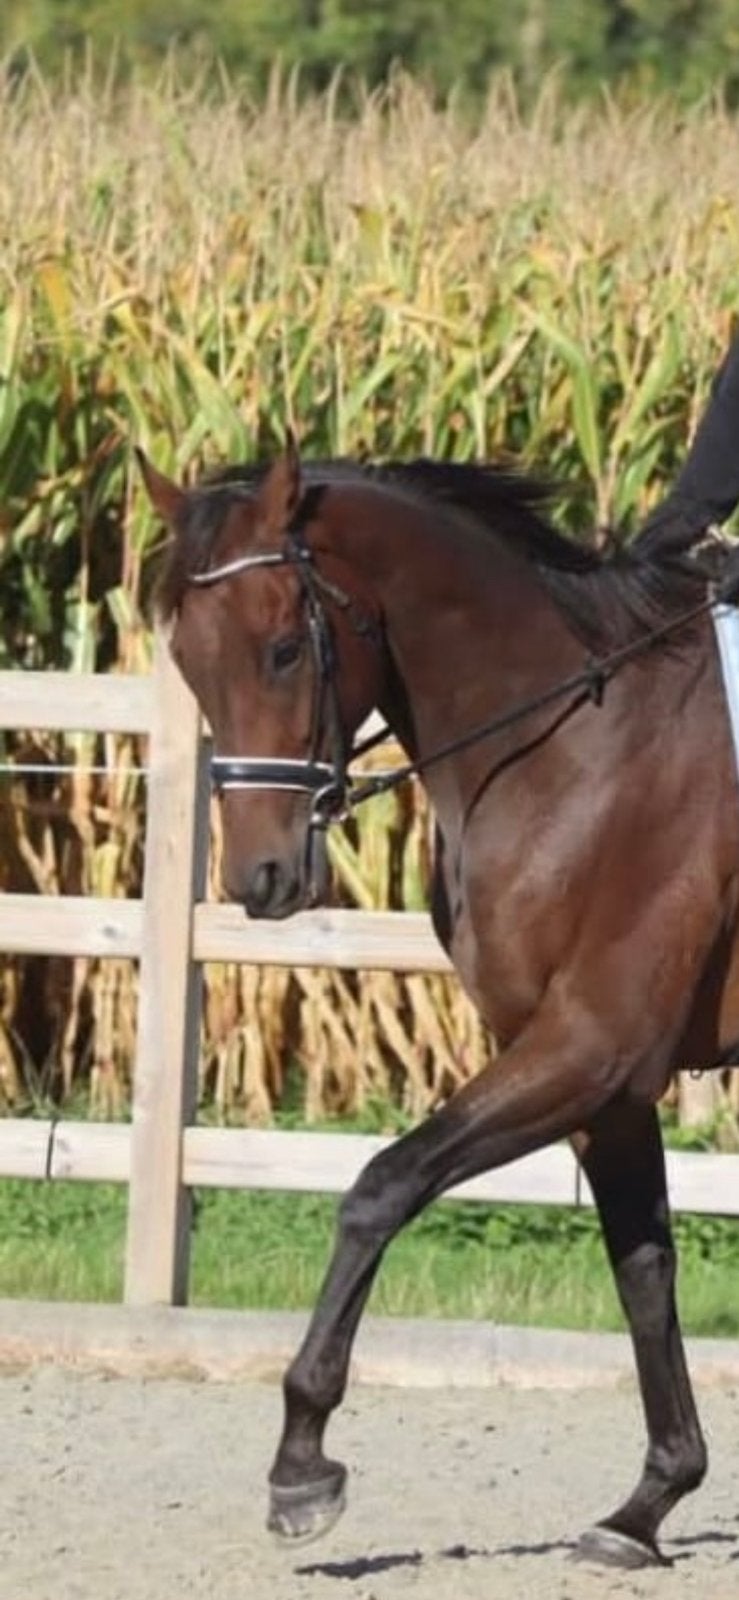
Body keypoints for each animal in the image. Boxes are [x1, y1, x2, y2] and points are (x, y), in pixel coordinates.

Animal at [139, 436, 739, 1571]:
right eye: (189, 659)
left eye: (282, 649)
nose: (260, 880)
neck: (577, 746)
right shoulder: (597, 1079)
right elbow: (642, 1266)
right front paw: (647, 1504)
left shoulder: (587, 1046)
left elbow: (381, 1184)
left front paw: (301, 1466)